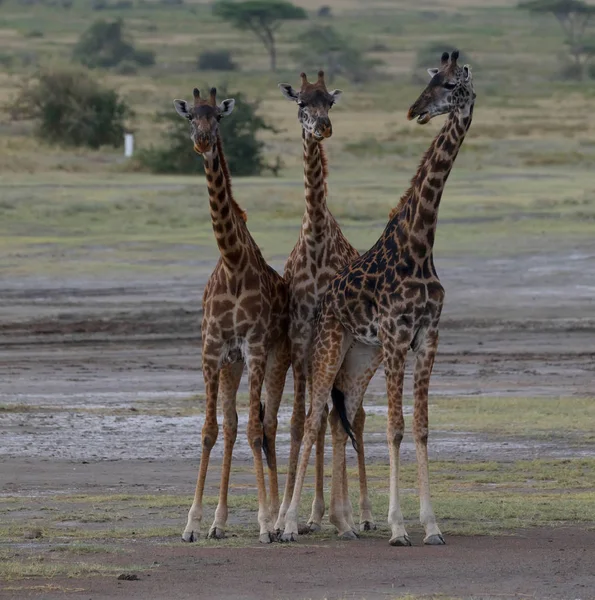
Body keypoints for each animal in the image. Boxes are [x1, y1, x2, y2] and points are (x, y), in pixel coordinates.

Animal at [172, 85, 292, 544]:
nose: (202, 141)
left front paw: (264, 523)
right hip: (232, 364)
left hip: (277, 357)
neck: (233, 261)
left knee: (268, 423)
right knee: (233, 424)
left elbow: (258, 430)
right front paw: (192, 523)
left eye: (218, 117)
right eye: (191, 117)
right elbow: (209, 430)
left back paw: (276, 516)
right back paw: (220, 522)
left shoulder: (255, 347)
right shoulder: (213, 349)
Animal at [282, 50, 478, 544]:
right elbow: (395, 427)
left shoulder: (427, 338)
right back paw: (288, 524)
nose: (415, 110)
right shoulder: (395, 336)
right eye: (433, 79)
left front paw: (431, 525)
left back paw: (335, 521)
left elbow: (421, 428)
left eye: (451, 85)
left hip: (358, 359)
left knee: (341, 418)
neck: (419, 245)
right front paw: (398, 527)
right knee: (312, 418)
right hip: (329, 347)